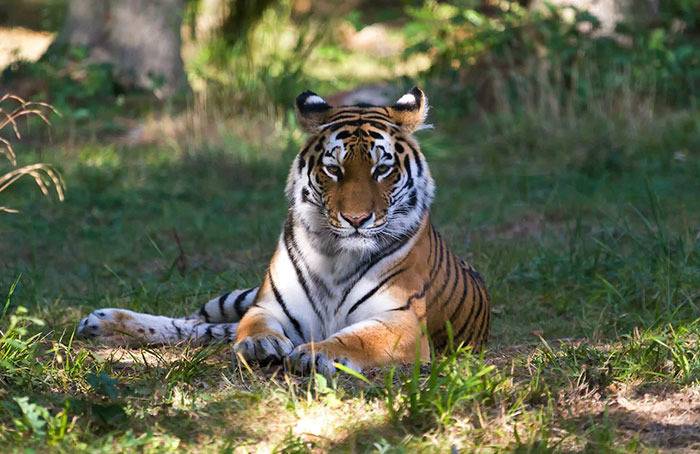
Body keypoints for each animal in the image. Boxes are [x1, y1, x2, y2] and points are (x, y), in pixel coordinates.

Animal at [76, 87, 490, 374]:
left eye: (382, 169)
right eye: (334, 169)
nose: (356, 219)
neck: (336, 256)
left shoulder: (400, 320)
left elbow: (356, 338)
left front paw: (317, 353)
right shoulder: (268, 305)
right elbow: (254, 327)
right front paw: (262, 346)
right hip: (235, 302)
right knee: (196, 322)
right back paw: (97, 321)